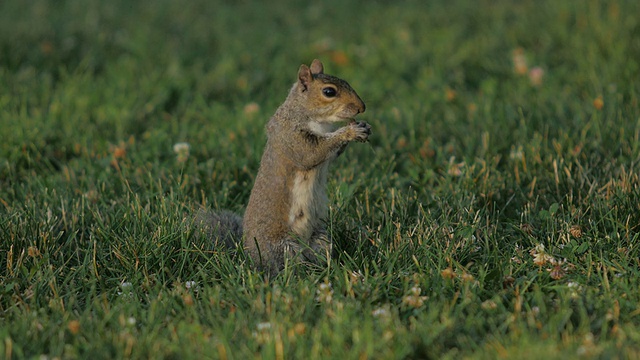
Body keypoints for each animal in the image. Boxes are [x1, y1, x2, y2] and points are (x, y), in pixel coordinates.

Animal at [199, 59, 370, 274]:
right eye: (329, 92)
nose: (361, 107)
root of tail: (248, 253)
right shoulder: (292, 138)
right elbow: (312, 153)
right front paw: (349, 132)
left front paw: (363, 128)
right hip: (282, 248)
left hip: (320, 239)